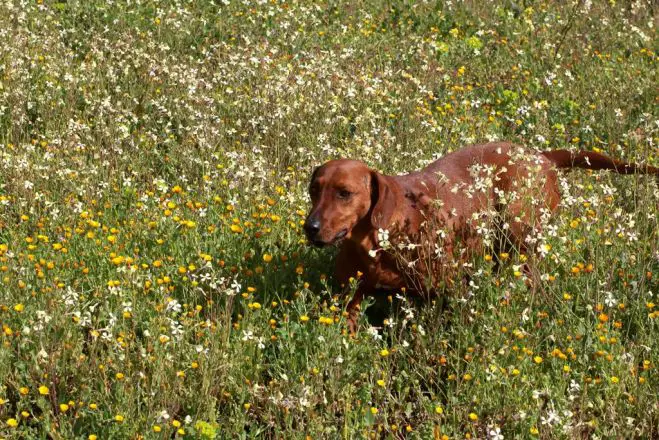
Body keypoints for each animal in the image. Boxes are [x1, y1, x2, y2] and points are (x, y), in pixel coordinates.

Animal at [308, 143, 659, 332]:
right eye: (314, 189)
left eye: (344, 193)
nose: (310, 227)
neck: (376, 241)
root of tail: (539, 155)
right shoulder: (350, 300)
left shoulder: (447, 292)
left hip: (520, 237)